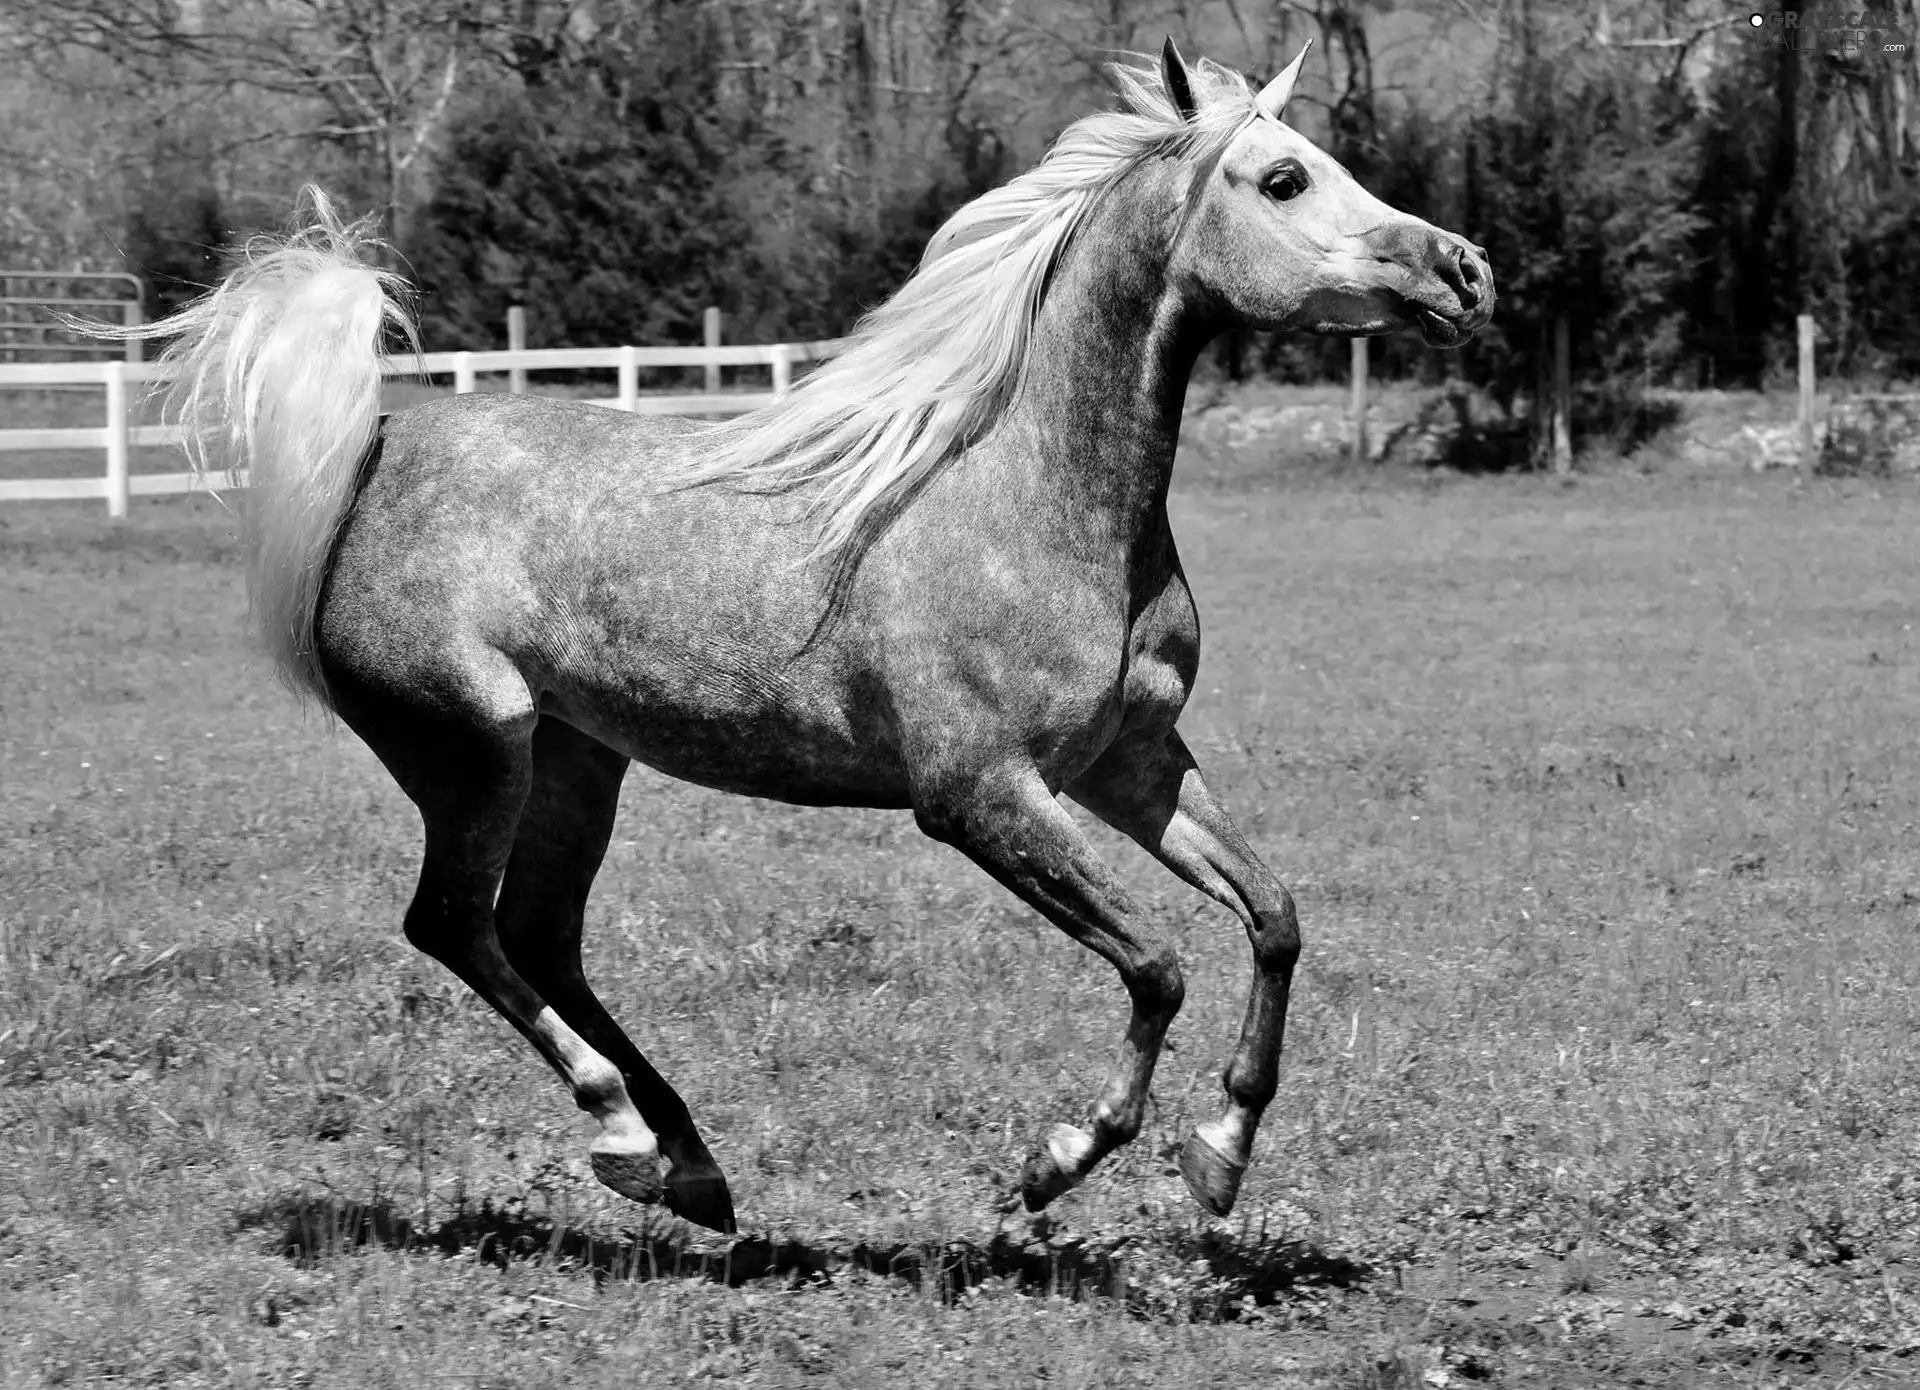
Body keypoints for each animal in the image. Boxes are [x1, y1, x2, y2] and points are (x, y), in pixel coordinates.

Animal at [112, 43, 1489, 1228]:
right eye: (1284, 177)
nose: (1464, 269)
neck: (1030, 496)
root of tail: (373, 452)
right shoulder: (979, 794)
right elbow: (1155, 963)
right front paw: (1056, 1160)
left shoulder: (1129, 765)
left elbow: (1274, 918)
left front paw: (1220, 1156)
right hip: (472, 750)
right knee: (455, 925)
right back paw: (622, 1133)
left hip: (576, 760)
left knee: (540, 935)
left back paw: (692, 1168)